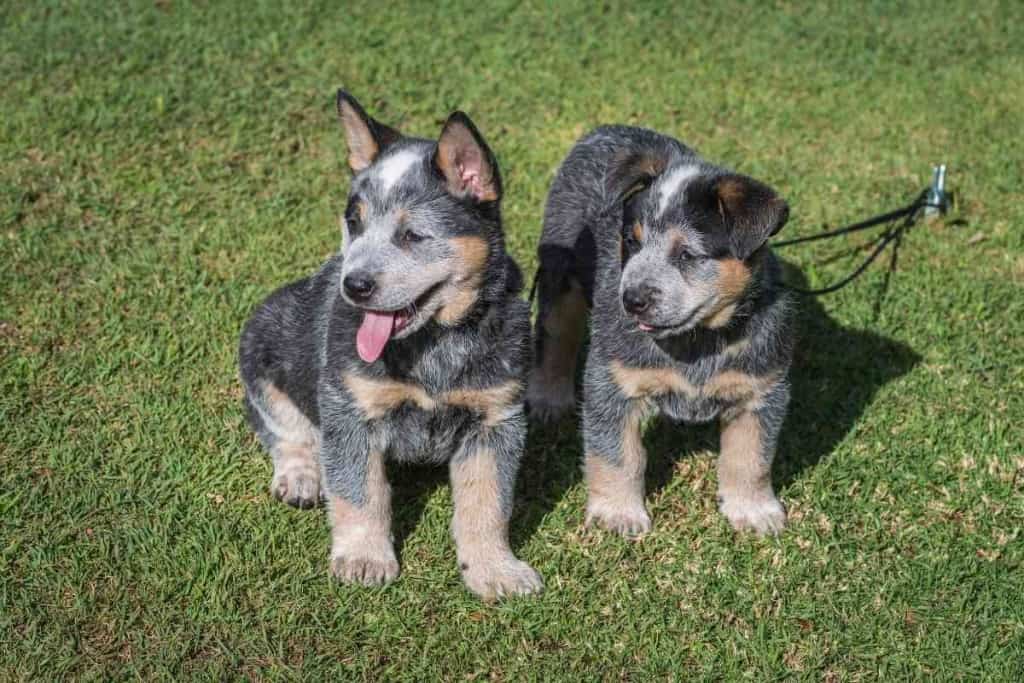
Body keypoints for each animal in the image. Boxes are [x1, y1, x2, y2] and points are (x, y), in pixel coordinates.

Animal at [237, 90, 544, 602]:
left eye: (412, 235)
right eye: (353, 223)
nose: (352, 285)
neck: (434, 345)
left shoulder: (496, 419)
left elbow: (487, 504)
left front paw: (494, 569)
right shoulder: (349, 412)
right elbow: (360, 494)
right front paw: (364, 558)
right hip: (261, 345)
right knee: (285, 431)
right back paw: (300, 476)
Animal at [524, 125, 794, 536]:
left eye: (687, 255)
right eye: (630, 240)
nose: (631, 299)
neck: (697, 342)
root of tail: (605, 128)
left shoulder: (761, 391)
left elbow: (751, 459)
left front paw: (753, 511)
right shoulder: (612, 383)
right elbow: (618, 455)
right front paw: (617, 513)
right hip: (561, 273)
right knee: (557, 337)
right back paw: (549, 398)